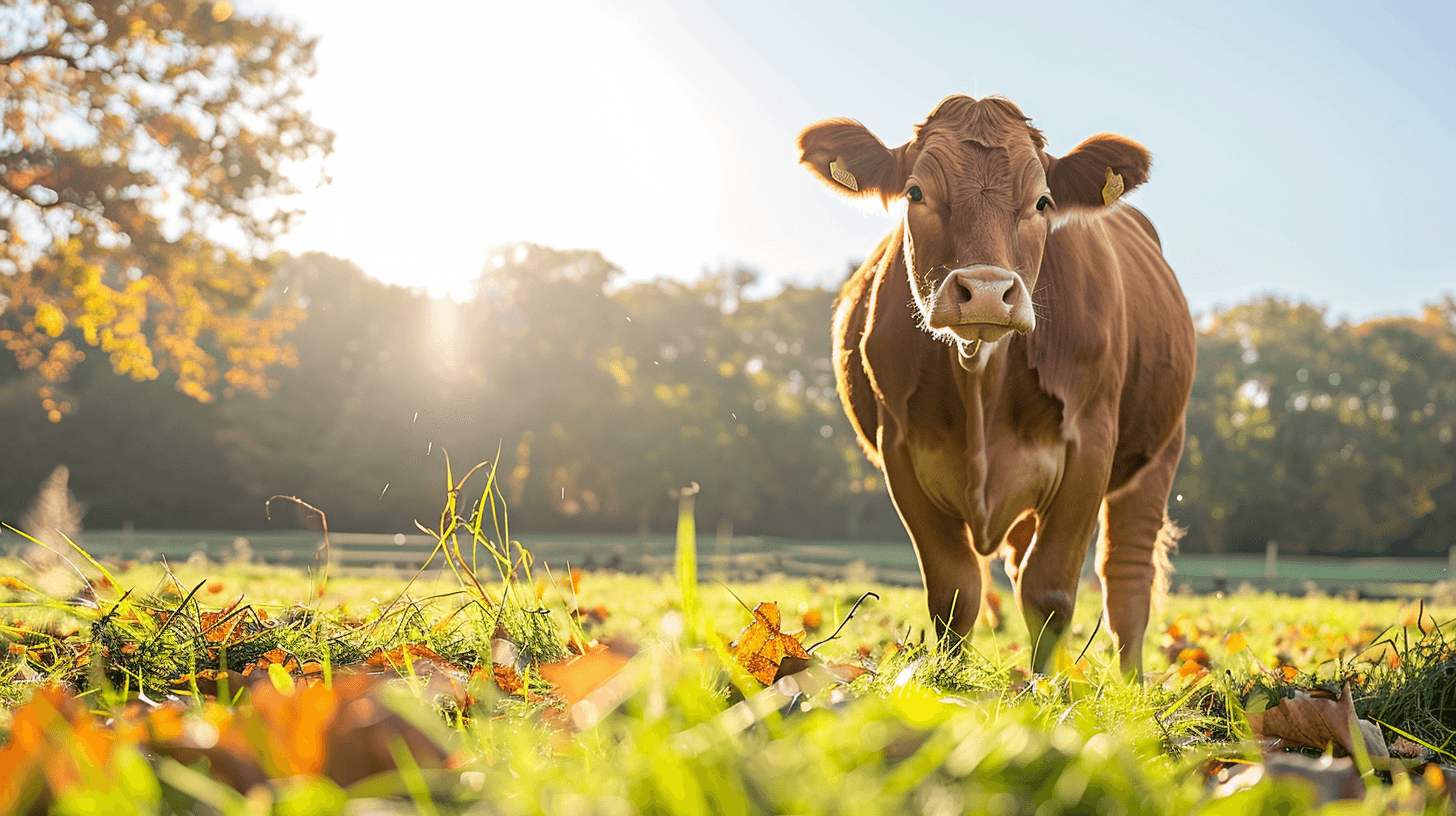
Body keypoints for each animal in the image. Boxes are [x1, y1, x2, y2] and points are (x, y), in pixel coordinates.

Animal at [797, 95, 1193, 676]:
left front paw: (1045, 691)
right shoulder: (900, 451)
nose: (986, 291)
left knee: (1126, 575)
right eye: (915, 192)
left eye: (1043, 202)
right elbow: (954, 590)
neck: (983, 376)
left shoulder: (1091, 444)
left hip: (1160, 450)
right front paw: (950, 682)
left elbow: (1049, 590)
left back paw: (1132, 684)